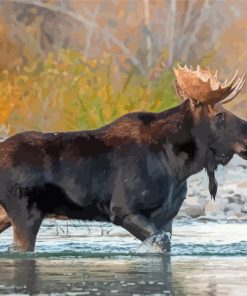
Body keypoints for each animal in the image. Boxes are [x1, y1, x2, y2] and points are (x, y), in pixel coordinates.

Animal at [0, 65, 246, 252]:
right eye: (219, 114)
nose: (246, 136)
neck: (178, 167)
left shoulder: (167, 217)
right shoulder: (122, 209)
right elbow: (159, 244)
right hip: (25, 213)